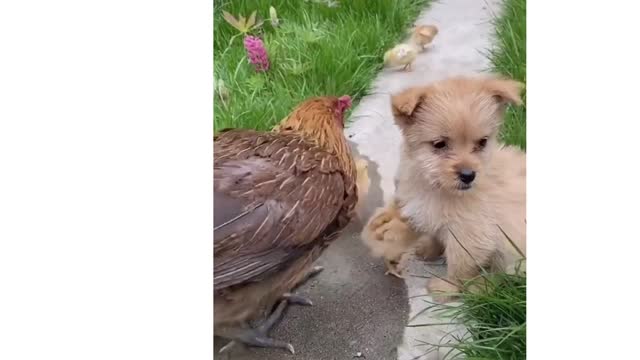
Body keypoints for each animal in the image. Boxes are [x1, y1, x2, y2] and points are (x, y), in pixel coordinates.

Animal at [362, 77, 528, 302]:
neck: (434, 187)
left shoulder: (469, 235)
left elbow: (458, 265)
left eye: (482, 142)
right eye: (439, 144)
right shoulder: (428, 213)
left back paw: (478, 288)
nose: (468, 175)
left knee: (502, 279)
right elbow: (434, 233)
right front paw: (428, 248)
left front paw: (446, 287)